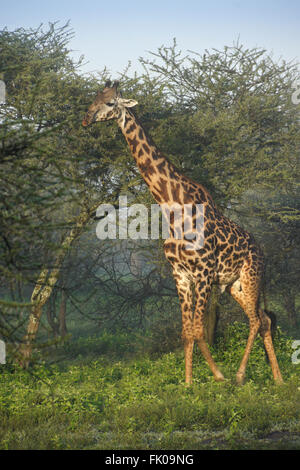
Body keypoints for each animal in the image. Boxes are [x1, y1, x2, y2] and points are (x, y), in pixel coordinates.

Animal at [82, 81, 284, 386]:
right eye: (94, 97)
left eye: (110, 103)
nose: (86, 118)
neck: (171, 205)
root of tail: (262, 251)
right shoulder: (180, 274)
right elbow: (186, 332)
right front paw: (188, 384)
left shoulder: (203, 273)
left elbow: (199, 330)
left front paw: (218, 376)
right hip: (234, 285)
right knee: (264, 319)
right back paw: (278, 378)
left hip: (251, 277)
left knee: (256, 320)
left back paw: (240, 375)